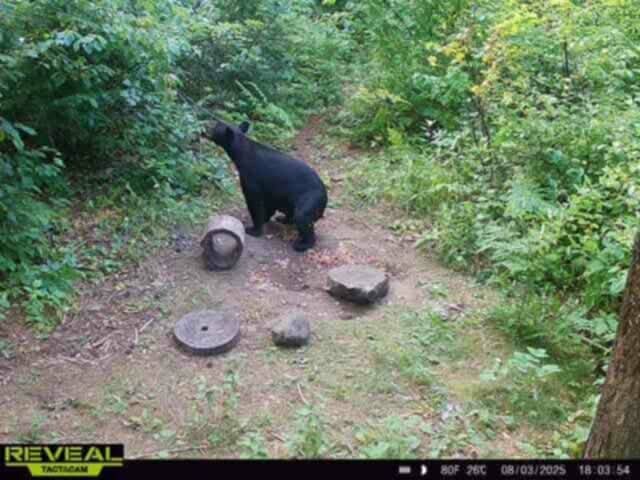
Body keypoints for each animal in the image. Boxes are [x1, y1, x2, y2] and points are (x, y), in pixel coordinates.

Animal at [206, 120, 328, 252]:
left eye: (216, 127)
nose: (207, 129)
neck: (242, 154)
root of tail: (325, 195)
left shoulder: (251, 180)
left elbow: (254, 203)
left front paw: (253, 230)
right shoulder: (270, 189)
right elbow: (269, 203)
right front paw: (265, 218)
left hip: (309, 199)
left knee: (302, 217)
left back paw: (302, 244)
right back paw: (283, 219)